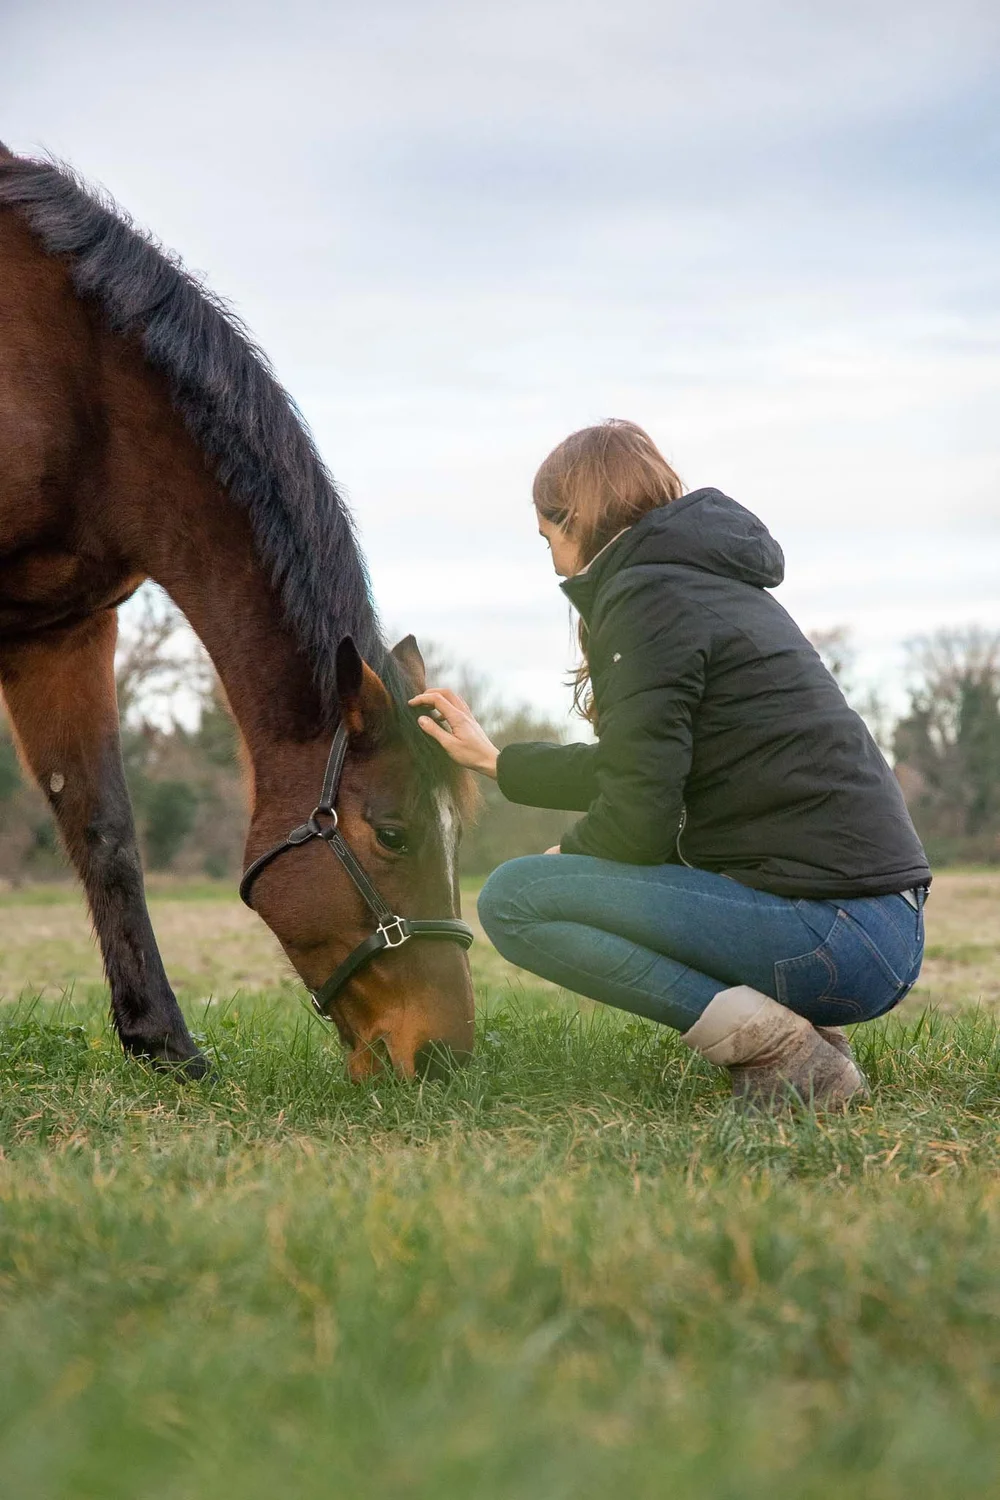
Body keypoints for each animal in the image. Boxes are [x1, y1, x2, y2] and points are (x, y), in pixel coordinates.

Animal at [0, 145, 477, 1081]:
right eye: (394, 834)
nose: (447, 1058)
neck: (67, 382)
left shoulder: (60, 632)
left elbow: (105, 831)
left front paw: (163, 1043)